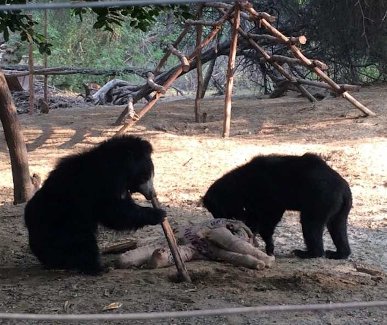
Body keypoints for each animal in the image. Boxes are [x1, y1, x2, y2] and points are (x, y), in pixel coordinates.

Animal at [24, 134, 165, 274]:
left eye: (151, 174)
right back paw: (96, 267)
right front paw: (158, 214)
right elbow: (114, 212)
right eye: (145, 176)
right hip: (63, 226)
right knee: (83, 244)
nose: (152, 194)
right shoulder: (103, 184)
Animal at [205, 153, 354, 260]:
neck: (240, 185)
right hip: (340, 210)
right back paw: (338, 254)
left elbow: (267, 222)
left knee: (311, 226)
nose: (220, 223)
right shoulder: (254, 204)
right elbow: (254, 220)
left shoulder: (269, 199)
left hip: (319, 200)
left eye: (218, 210)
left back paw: (305, 253)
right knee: (338, 228)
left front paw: (269, 248)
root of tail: (344, 189)